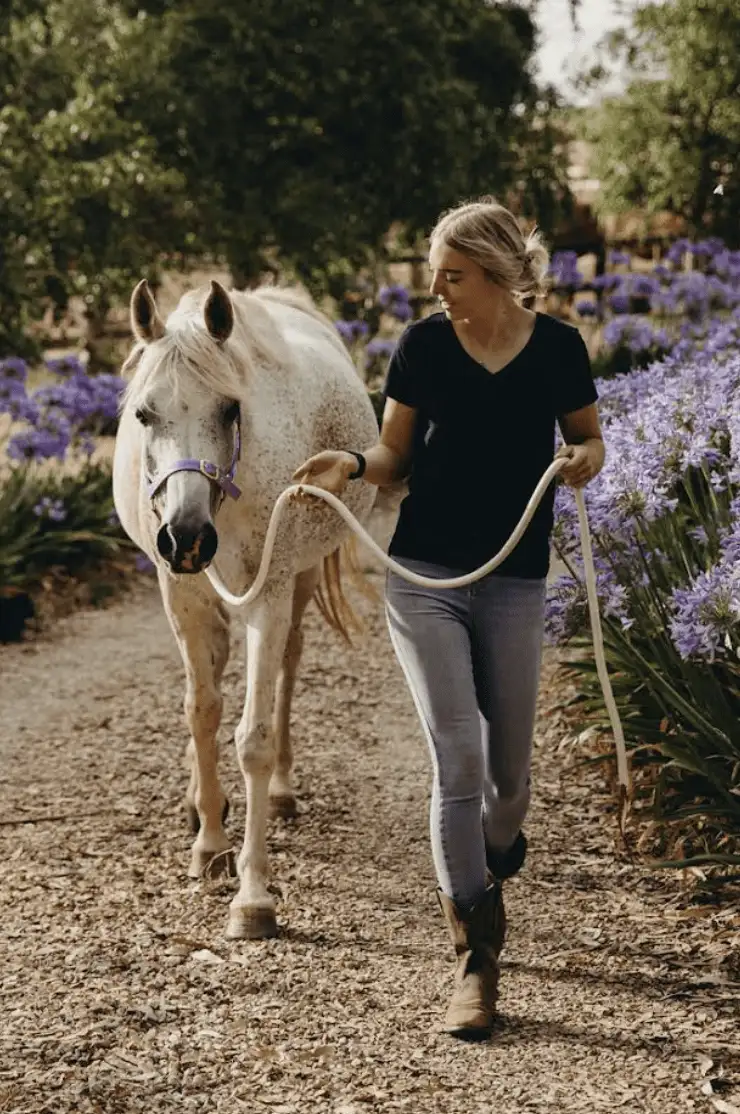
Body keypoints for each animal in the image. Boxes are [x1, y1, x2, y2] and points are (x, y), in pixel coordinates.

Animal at [112, 278, 378, 939]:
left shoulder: (269, 593)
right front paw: (209, 842)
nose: (185, 538)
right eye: (144, 414)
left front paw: (253, 895)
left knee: (288, 665)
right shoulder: (181, 594)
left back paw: (280, 790)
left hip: (299, 579)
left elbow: (252, 736)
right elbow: (202, 710)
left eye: (229, 409)